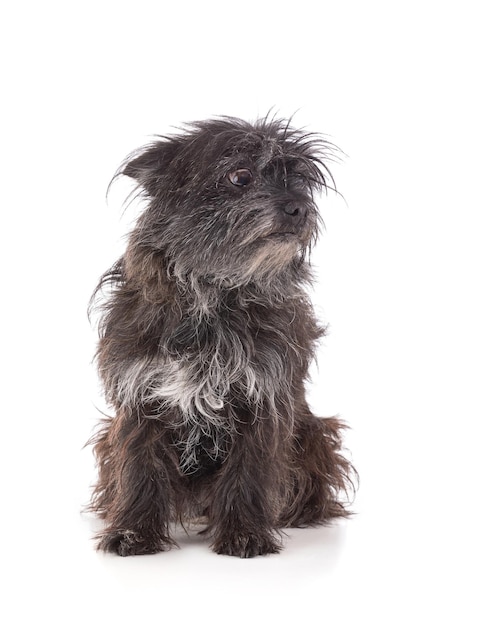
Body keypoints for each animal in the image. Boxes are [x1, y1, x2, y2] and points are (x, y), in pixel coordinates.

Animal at [89, 113, 352, 556]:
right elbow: (140, 469)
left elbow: (250, 471)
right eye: (240, 176)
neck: (212, 294)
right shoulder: (138, 399)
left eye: (300, 181)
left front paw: (245, 533)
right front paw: (133, 532)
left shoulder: (263, 400)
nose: (299, 207)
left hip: (315, 434)